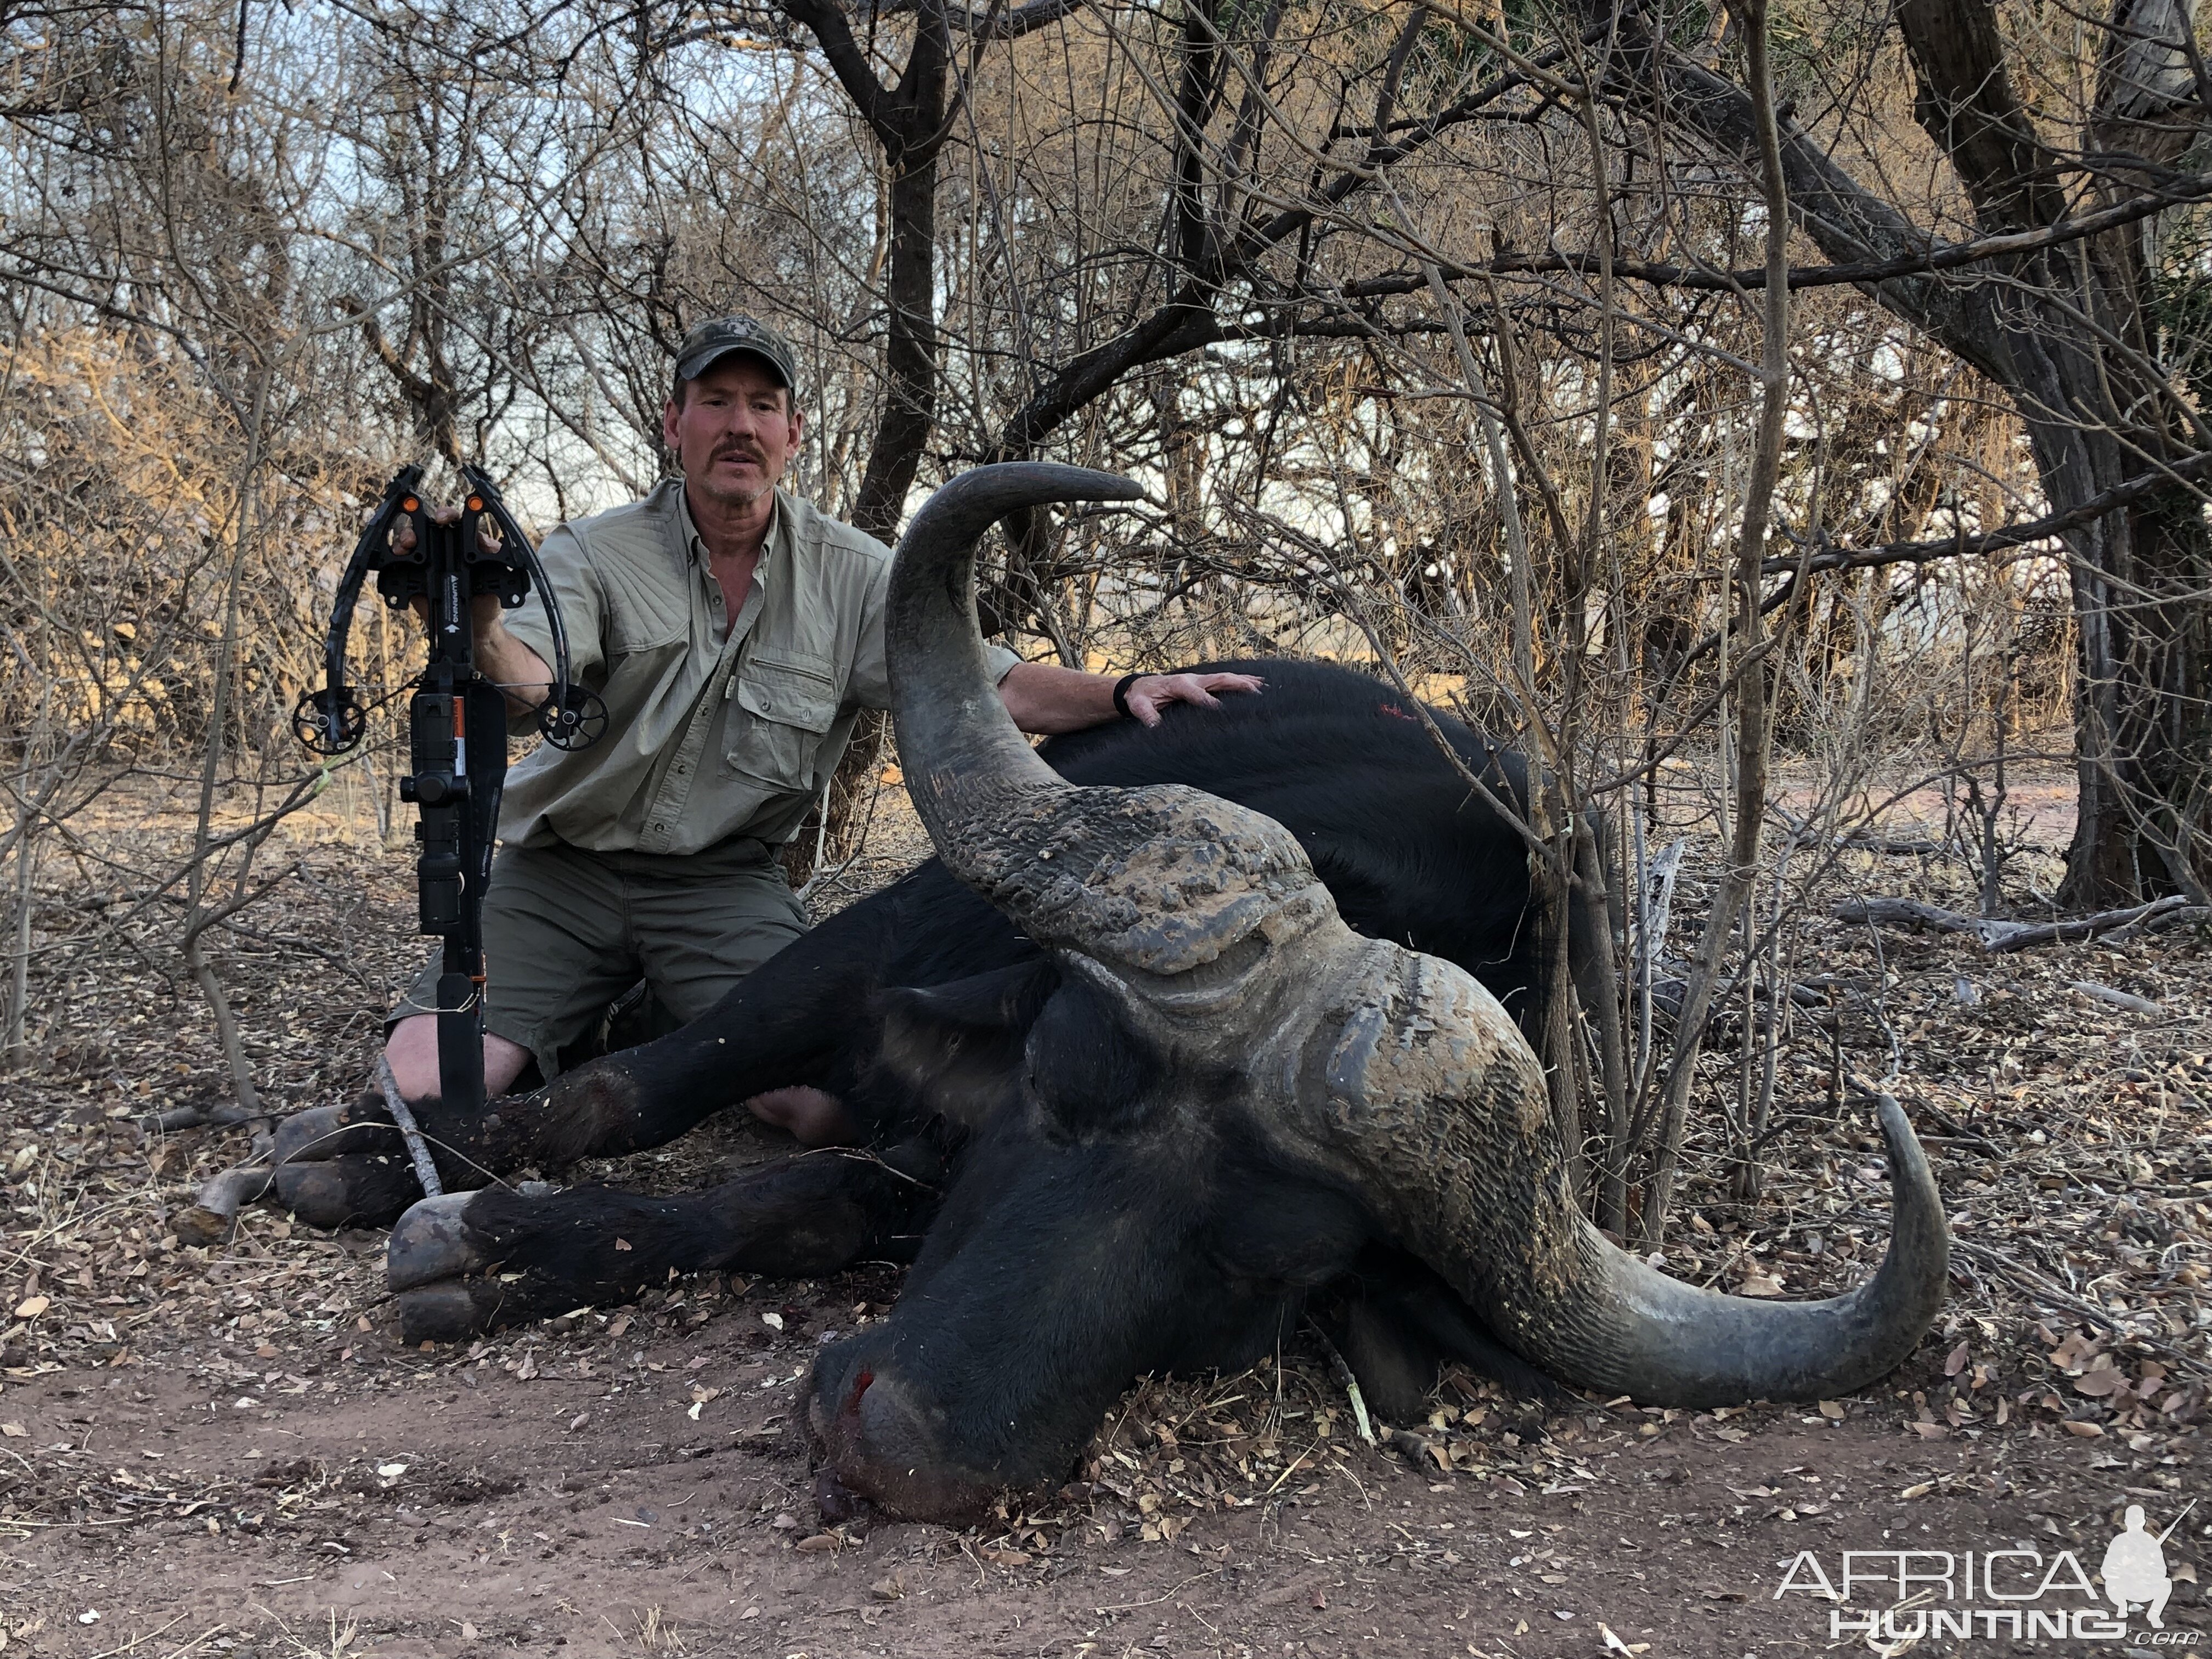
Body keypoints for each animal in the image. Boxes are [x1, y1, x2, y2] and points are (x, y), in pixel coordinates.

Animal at [267, 462, 1946, 1531]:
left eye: (1269, 1269)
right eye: (1060, 1084)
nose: (897, 1443)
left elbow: (796, 1205)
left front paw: (505, 1250)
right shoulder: (858, 958)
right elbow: (631, 1091)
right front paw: (399, 1178)